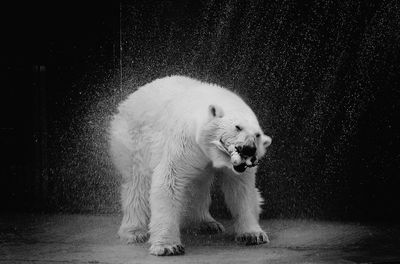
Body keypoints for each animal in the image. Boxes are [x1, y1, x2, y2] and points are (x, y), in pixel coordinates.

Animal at [108, 76, 272, 256]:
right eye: (237, 127)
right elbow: (169, 182)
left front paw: (253, 235)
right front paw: (168, 246)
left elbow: (241, 189)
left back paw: (207, 223)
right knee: (137, 183)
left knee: (197, 185)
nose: (249, 149)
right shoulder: (185, 141)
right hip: (133, 141)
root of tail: (128, 100)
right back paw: (134, 232)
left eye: (257, 135)